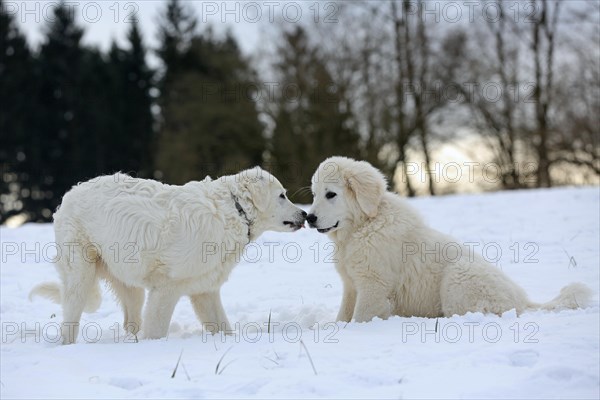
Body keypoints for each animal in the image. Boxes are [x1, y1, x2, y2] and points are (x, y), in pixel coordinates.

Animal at [30, 168, 308, 344]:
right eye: (282, 195)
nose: (305, 215)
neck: (233, 212)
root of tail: (71, 193)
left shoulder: (205, 291)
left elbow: (222, 327)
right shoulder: (166, 288)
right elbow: (156, 330)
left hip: (130, 284)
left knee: (131, 321)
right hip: (80, 275)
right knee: (70, 320)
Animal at [308, 156, 592, 322]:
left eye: (331, 194)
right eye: (314, 194)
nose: (309, 218)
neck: (364, 227)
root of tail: (523, 301)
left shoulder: (373, 284)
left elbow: (360, 316)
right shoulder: (351, 284)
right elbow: (344, 313)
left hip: (459, 274)